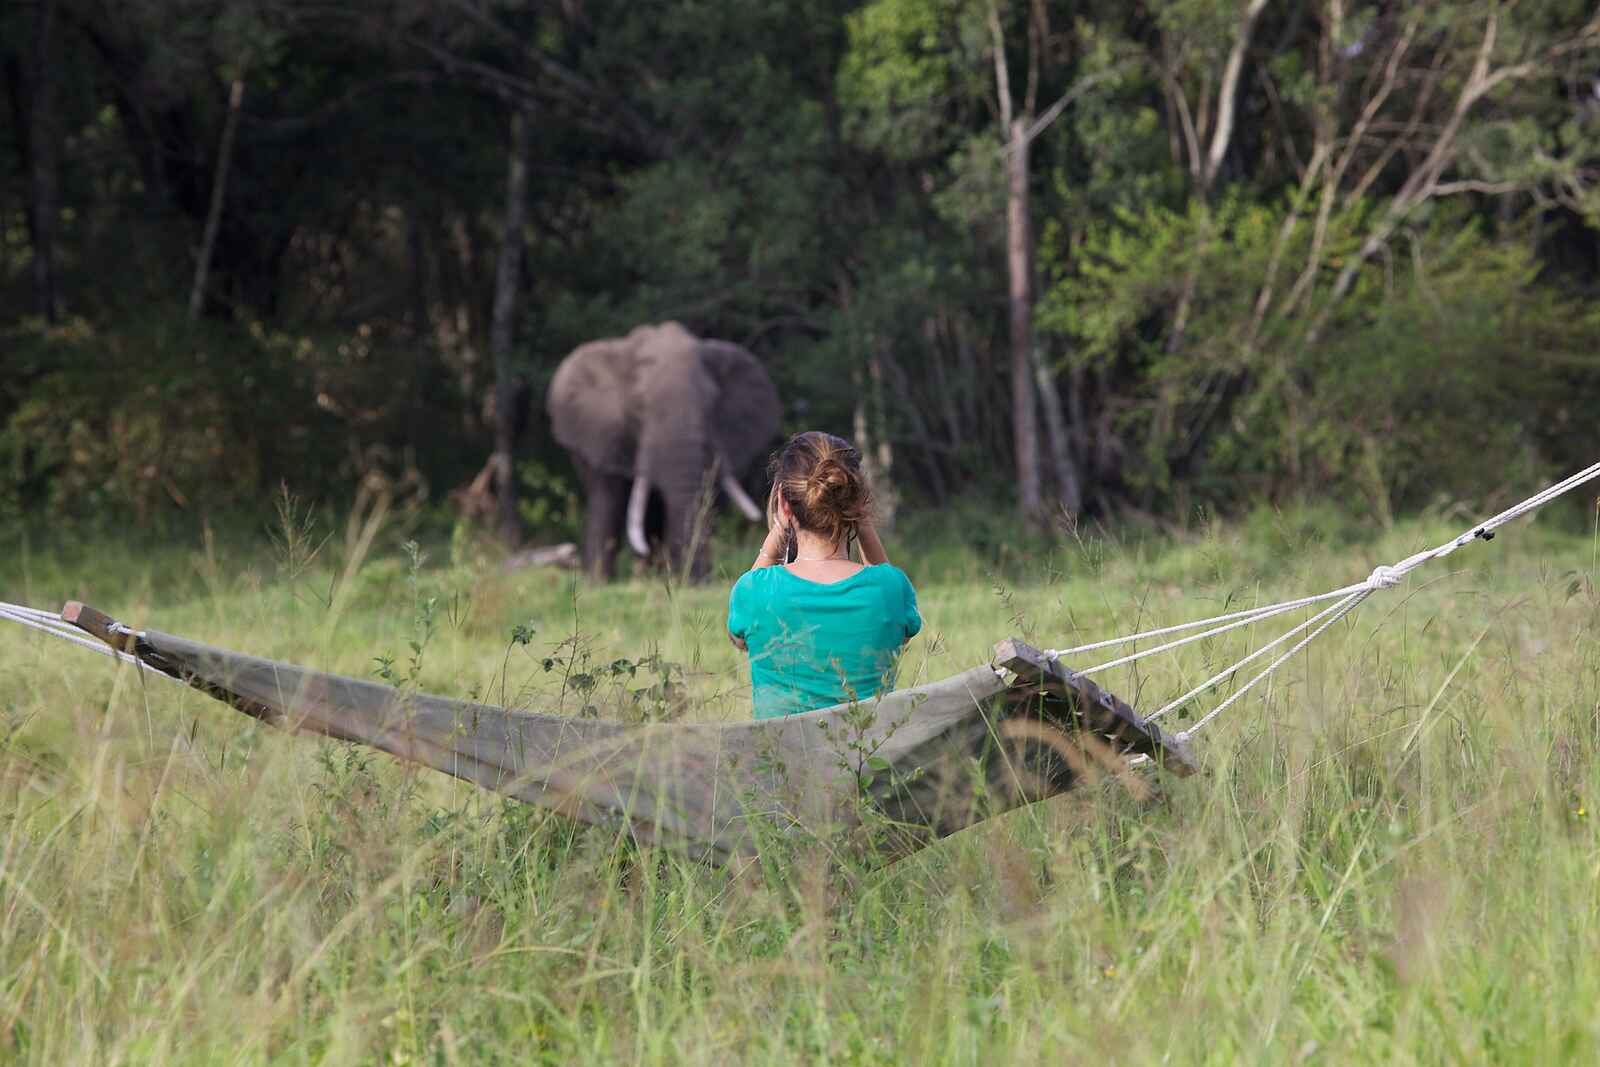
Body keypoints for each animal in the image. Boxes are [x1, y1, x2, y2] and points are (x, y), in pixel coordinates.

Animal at [547, 322, 781, 580]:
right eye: (639, 405)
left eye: (711, 403)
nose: (695, 581)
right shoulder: (604, 433)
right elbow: (609, 497)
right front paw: (600, 583)